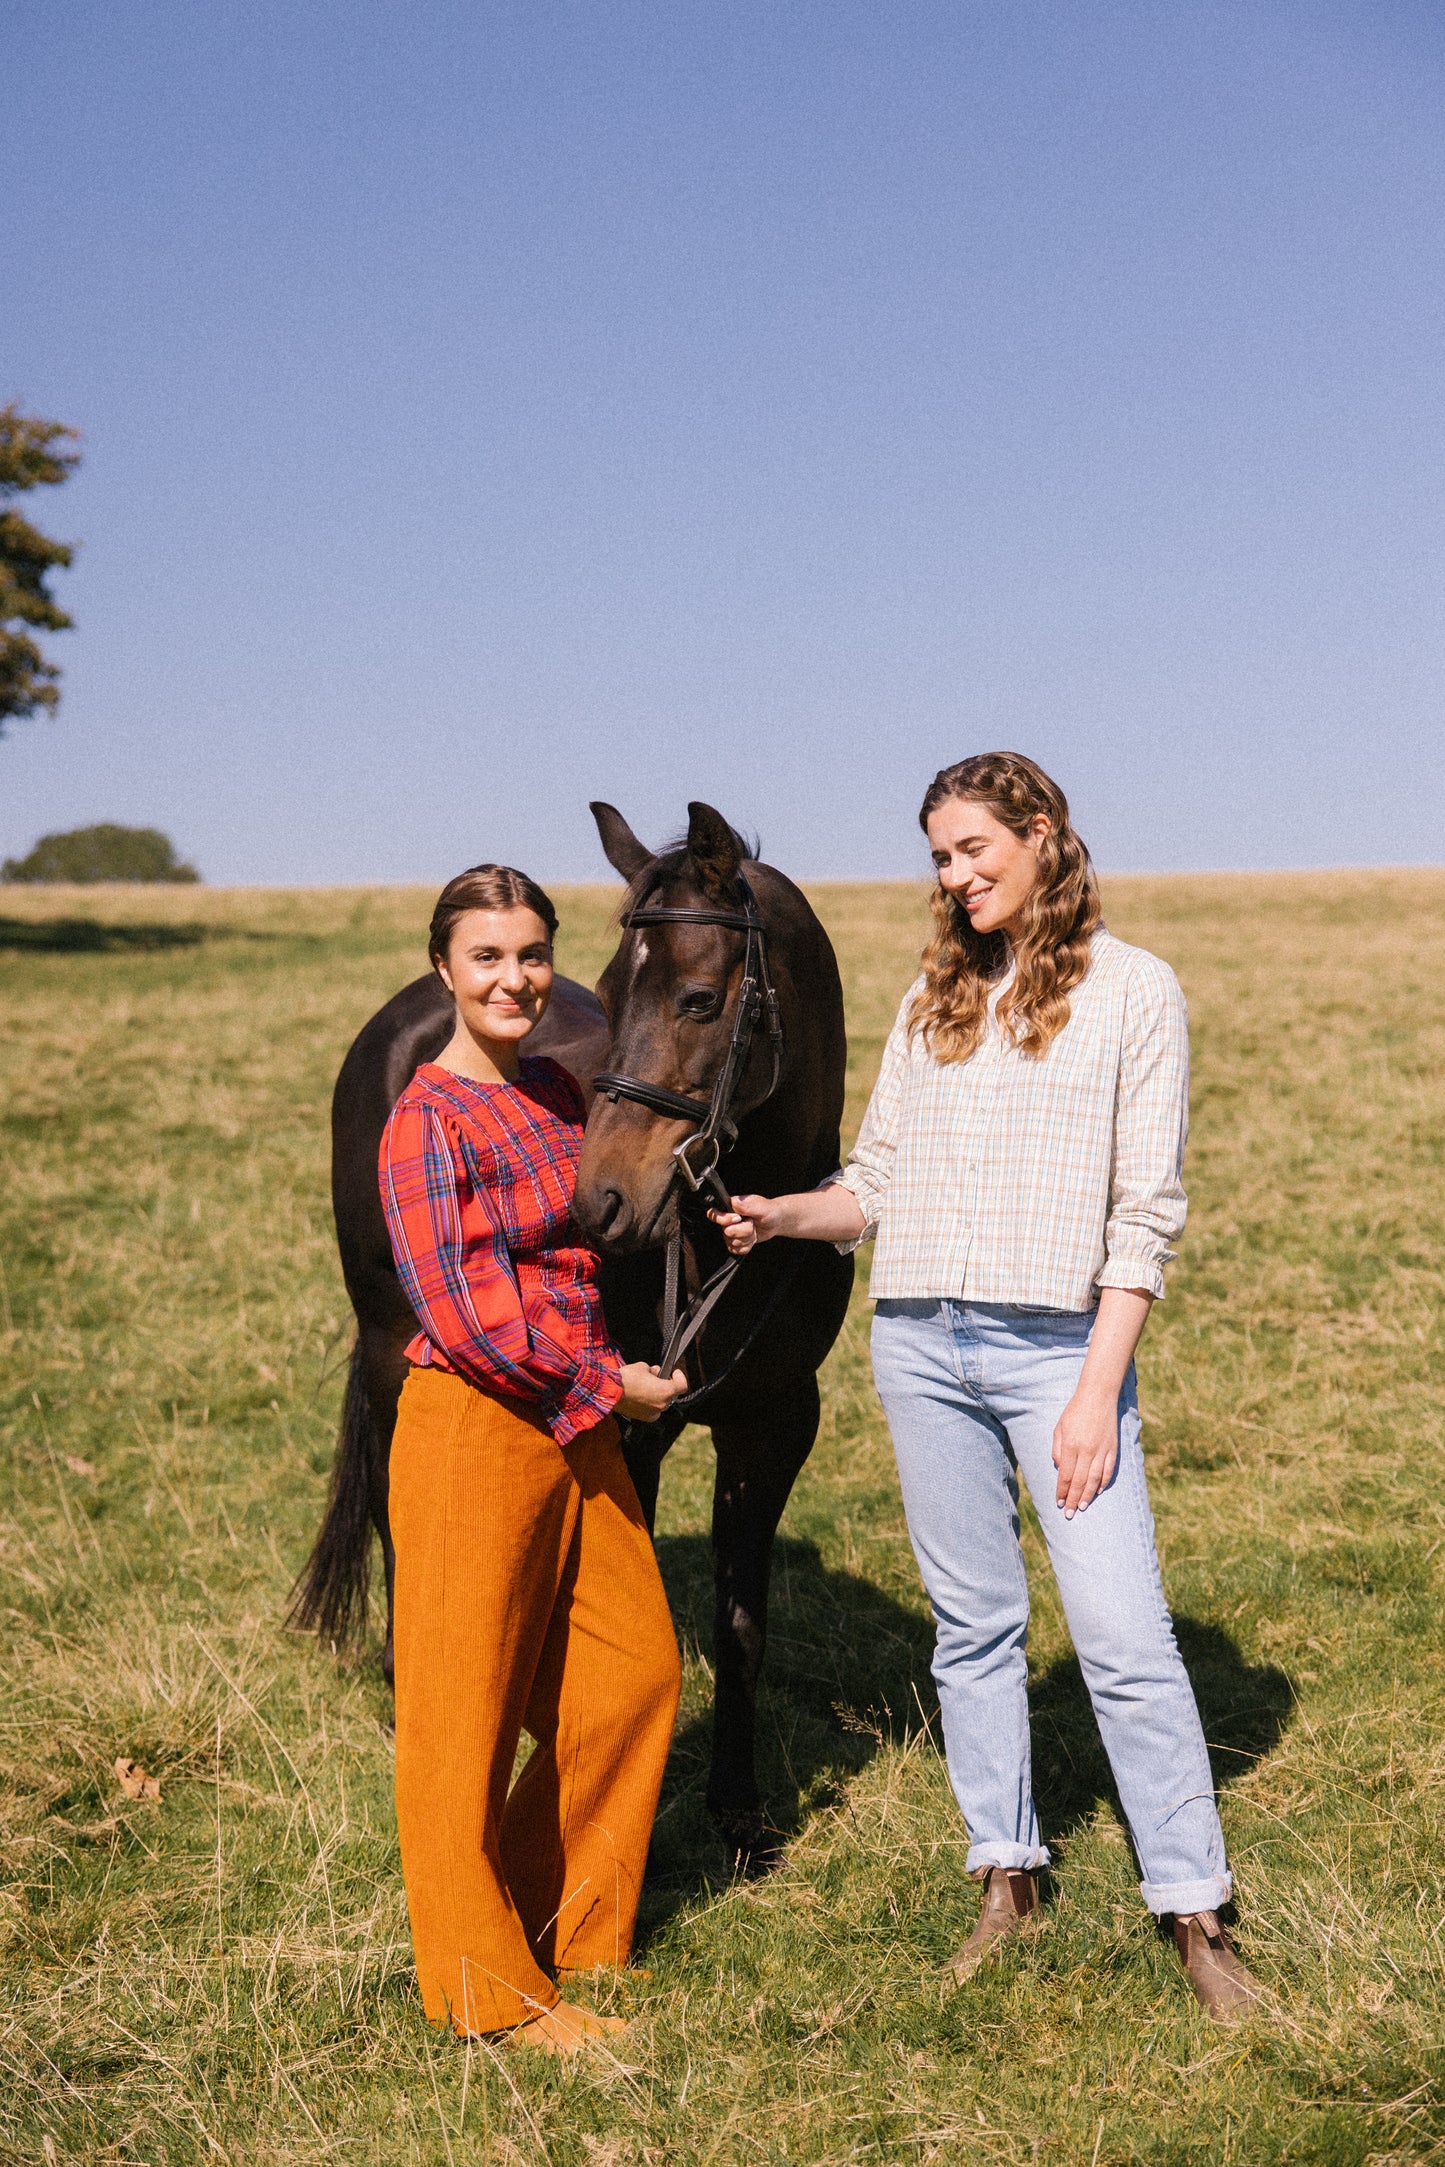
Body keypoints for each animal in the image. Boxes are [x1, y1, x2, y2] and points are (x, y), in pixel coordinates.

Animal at [298, 806, 853, 1872]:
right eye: (604, 988)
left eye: (697, 998)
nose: (602, 1200)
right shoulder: (633, 1424)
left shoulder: (771, 1422)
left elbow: (740, 1624)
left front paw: (736, 1811)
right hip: (391, 1343)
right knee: (393, 1505)